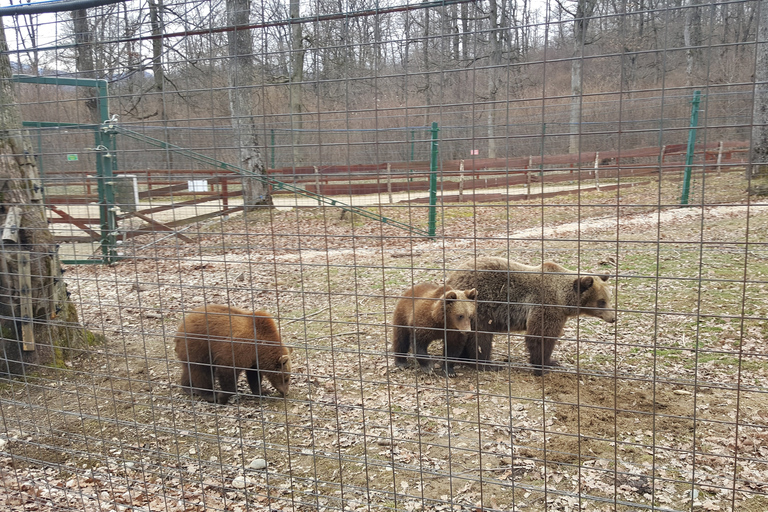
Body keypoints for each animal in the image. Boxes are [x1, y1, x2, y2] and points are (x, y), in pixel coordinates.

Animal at [444, 258, 616, 374]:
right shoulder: (546, 306)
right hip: (479, 308)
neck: (563, 299)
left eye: (609, 298)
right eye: (601, 301)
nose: (613, 318)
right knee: (480, 338)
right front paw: (546, 364)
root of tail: (451, 278)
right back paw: (488, 364)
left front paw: (551, 362)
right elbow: (540, 337)